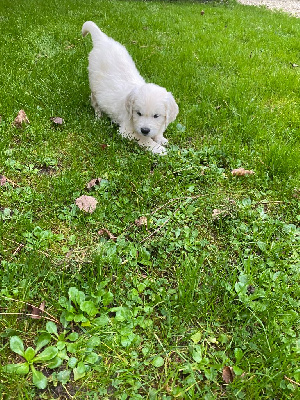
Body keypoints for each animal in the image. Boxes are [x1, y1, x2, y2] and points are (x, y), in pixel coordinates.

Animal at [82, 20, 178, 155]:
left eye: (156, 116)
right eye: (138, 113)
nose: (145, 130)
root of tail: (102, 40)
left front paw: (161, 139)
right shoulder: (127, 131)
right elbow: (144, 140)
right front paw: (158, 149)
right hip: (94, 85)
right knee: (95, 102)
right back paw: (98, 116)